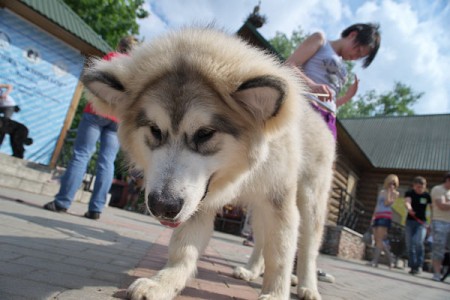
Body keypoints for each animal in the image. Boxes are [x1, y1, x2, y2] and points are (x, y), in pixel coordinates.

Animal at [81, 27, 334, 300]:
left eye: (205, 134)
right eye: (155, 130)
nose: (162, 206)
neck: (240, 174)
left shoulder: (279, 199)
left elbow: (280, 254)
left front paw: (276, 293)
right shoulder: (198, 202)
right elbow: (183, 249)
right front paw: (164, 282)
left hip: (309, 200)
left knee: (308, 247)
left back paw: (307, 285)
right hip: (255, 209)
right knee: (260, 236)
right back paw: (251, 269)